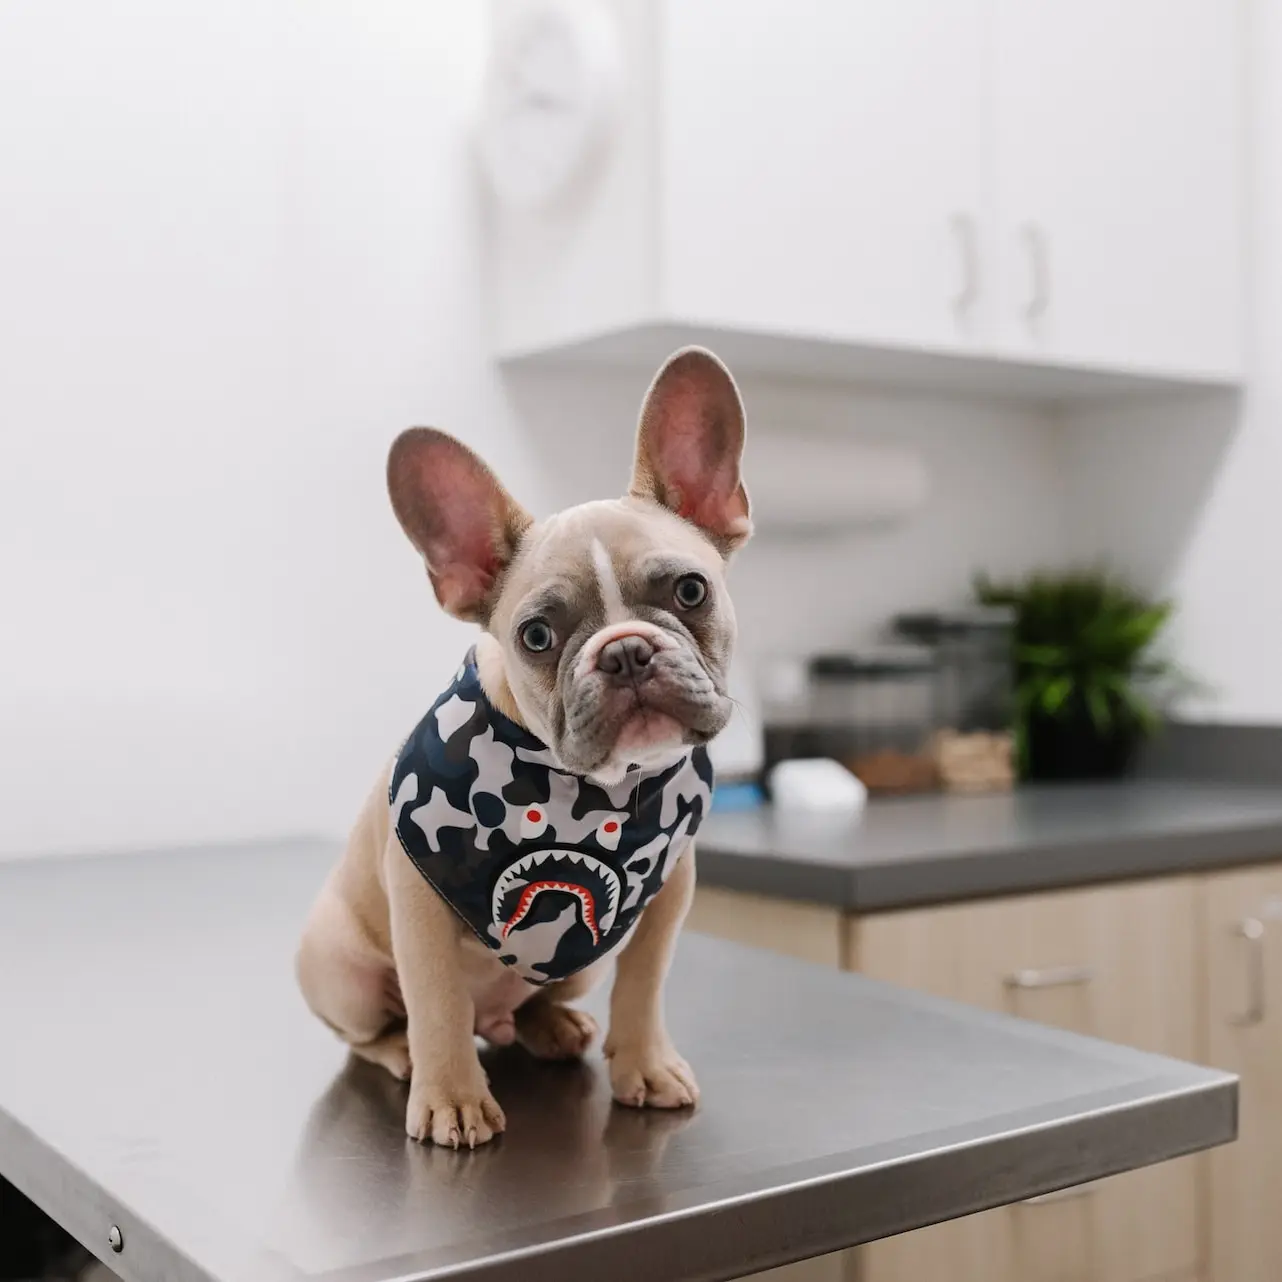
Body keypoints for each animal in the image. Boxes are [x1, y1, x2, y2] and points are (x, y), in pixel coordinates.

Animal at [296, 346, 748, 1148]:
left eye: (691, 591)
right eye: (536, 636)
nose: (625, 652)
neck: (596, 794)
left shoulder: (668, 897)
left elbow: (645, 983)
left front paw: (645, 1065)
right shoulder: (419, 902)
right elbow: (437, 1002)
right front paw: (451, 1099)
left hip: (577, 965)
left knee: (536, 1002)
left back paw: (554, 1026)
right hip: (341, 969)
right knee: (375, 1030)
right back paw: (404, 1054)